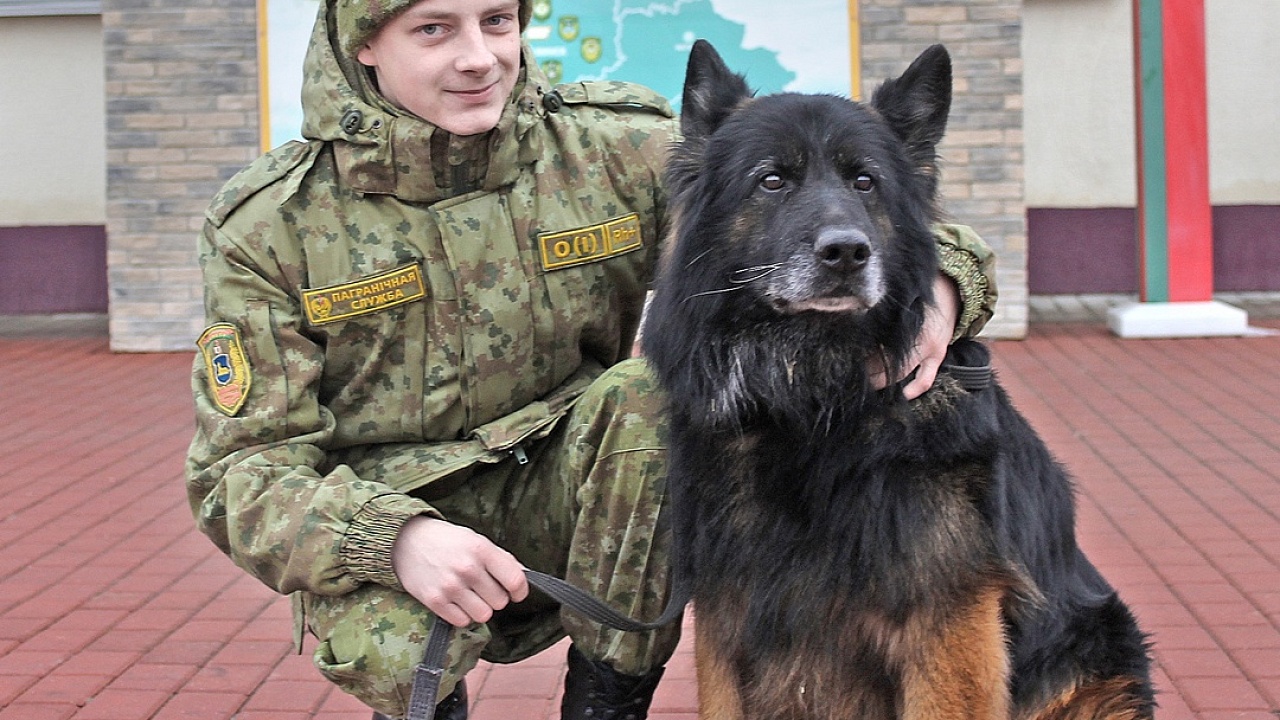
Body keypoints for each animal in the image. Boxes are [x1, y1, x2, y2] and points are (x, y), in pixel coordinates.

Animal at [645, 41, 1157, 717]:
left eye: (865, 181)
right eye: (772, 179)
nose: (846, 252)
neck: (814, 400)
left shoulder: (948, 627)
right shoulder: (726, 616)